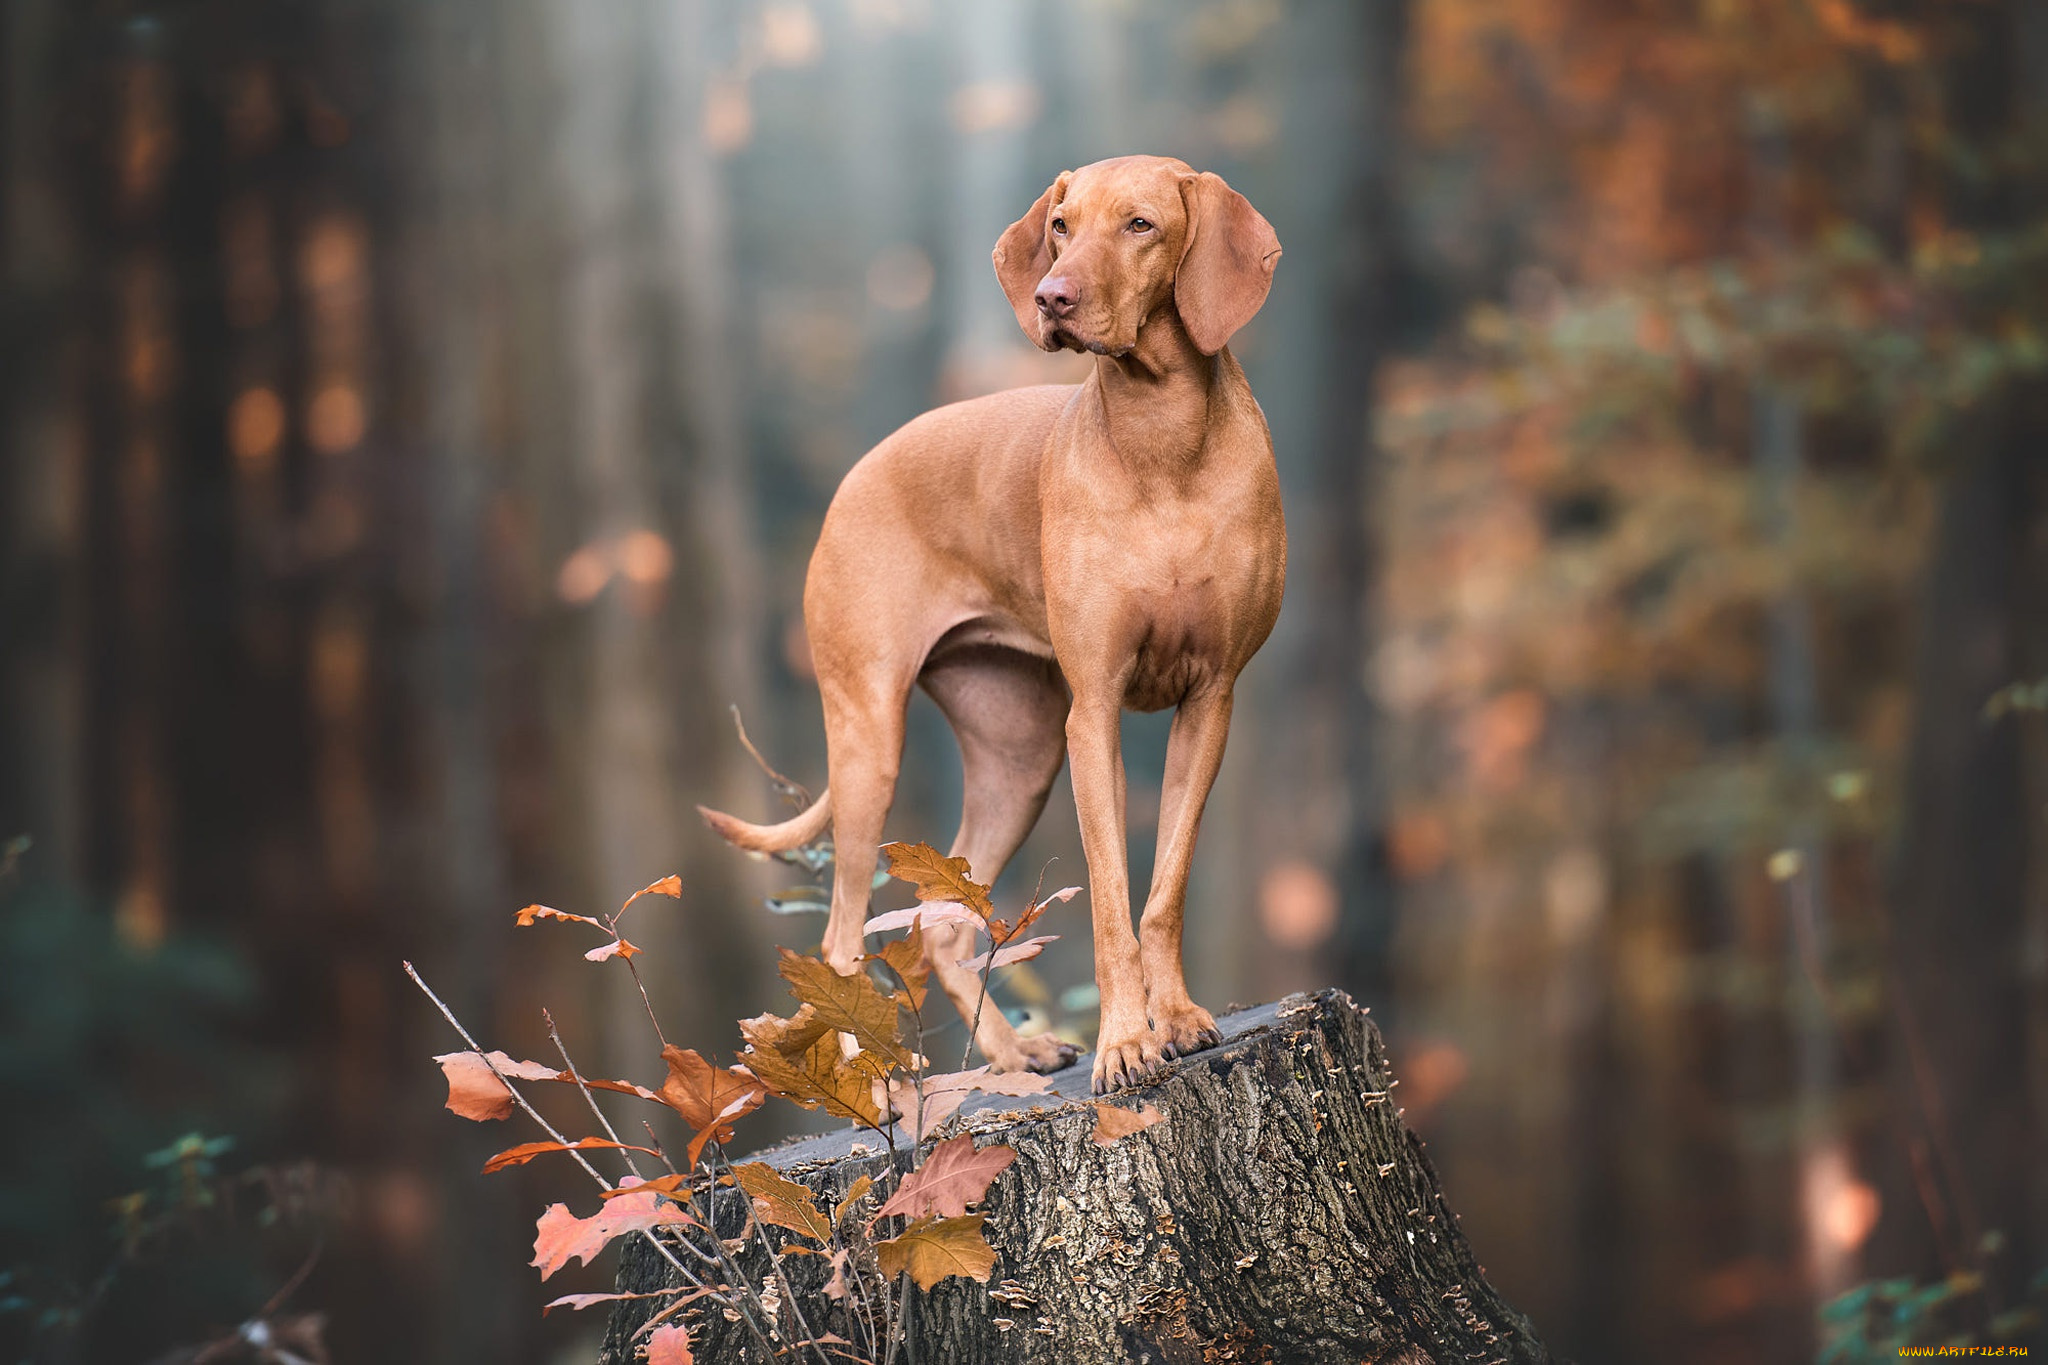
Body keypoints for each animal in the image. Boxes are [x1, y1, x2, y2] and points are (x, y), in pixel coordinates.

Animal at [704, 154, 1277, 1096]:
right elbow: (1111, 901)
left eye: (1141, 225)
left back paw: (1014, 1060)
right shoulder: (1095, 714)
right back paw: (881, 1091)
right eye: (1060, 225)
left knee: (938, 924)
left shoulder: (1213, 700)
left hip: (1021, 756)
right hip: (871, 741)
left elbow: (1163, 892)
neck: (1161, 440)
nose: (1051, 296)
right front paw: (1127, 1042)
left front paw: (1179, 1020)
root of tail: (859, 470)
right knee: (841, 937)